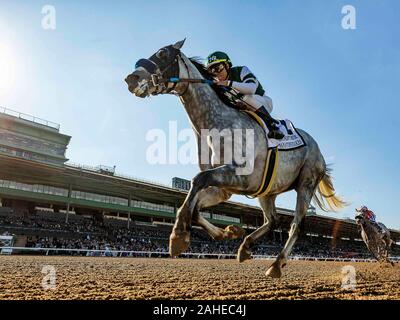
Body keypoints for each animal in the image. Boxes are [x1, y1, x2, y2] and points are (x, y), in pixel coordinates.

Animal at [126, 39, 346, 278]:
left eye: (163, 54)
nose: (131, 79)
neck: (217, 124)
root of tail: (320, 152)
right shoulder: (224, 188)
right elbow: (195, 207)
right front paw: (230, 231)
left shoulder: (240, 176)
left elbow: (196, 181)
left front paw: (177, 237)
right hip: (268, 191)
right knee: (273, 220)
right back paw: (246, 247)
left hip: (306, 183)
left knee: (296, 225)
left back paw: (276, 264)